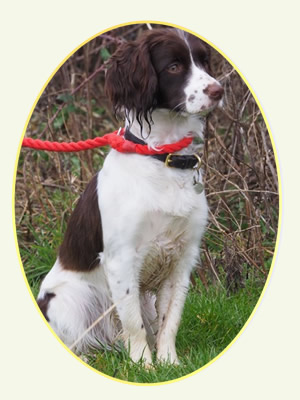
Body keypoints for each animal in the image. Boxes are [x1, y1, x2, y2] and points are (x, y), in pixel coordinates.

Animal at [36, 27, 223, 366]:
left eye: (204, 61)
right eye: (174, 66)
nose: (219, 90)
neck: (163, 159)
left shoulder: (182, 256)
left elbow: (170, 319)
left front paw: (169, 363)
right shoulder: (121, 259)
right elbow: (134, 323)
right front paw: (144, 366)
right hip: (71, 300)